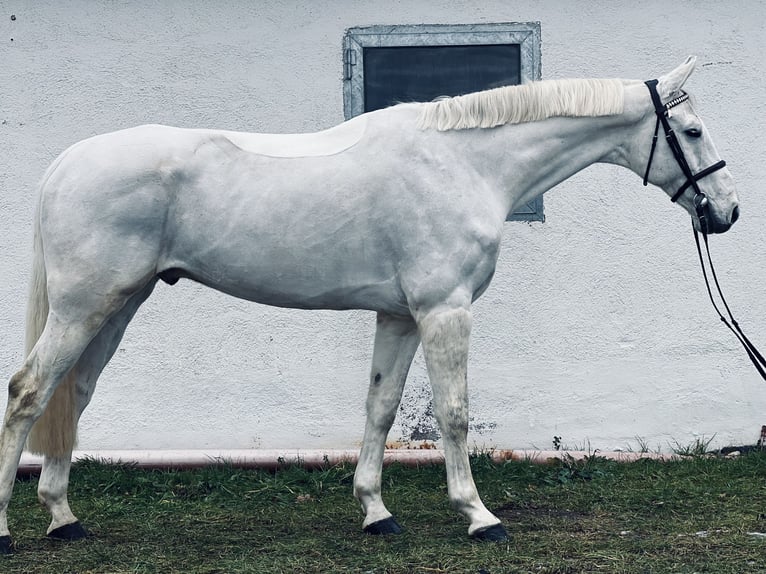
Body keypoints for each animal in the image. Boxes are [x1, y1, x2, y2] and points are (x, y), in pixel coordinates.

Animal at [0, 56, 740, 552]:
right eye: (692, 131)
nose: (726, 212)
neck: (465, 163)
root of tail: (65, 165)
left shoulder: (401, 315)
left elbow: (381, 408)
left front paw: (376, 511)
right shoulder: (445, 310)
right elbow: (454, 414)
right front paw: (479, 517)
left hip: (116, 305)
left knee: (73, 394)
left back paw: (64, 520)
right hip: (84, 307)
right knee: (29, 392)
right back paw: (10, 528)